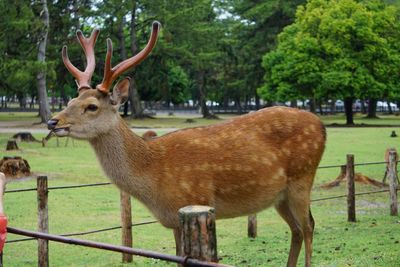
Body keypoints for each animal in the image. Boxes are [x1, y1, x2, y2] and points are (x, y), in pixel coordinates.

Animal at [47, 22, 326, 266]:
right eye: (71, 100)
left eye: (92, 106)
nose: (52, 121)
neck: (153, 176)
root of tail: (322, 126)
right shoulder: (174, 220)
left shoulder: (196, 200)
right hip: (280, 195)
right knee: (296, 230)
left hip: (302, 178)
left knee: (309, 226)